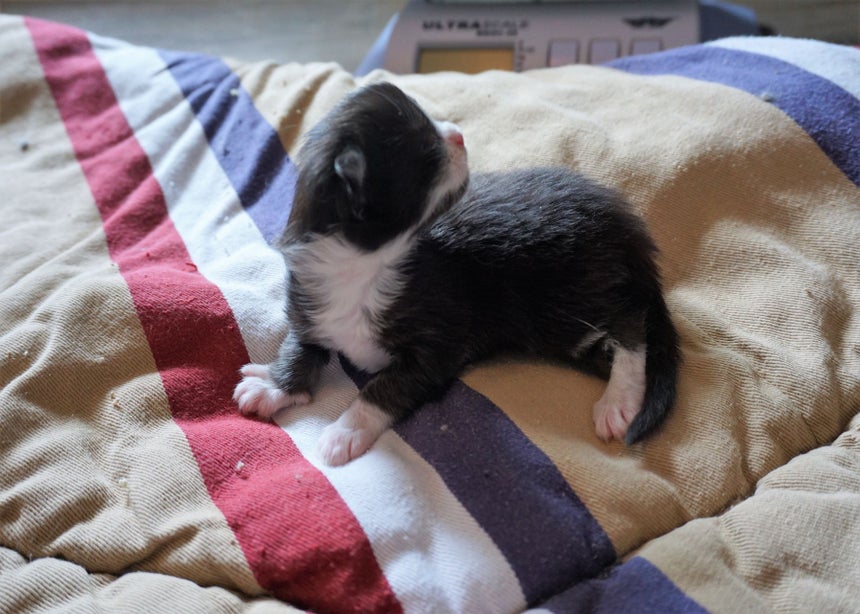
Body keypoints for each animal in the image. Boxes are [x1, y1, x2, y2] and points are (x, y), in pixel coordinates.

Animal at [233, 82, 680, 466]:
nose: (460, 135)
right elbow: (298, 350)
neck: (365, 267)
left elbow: (384, 387)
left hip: (571, 294)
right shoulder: (309, 308)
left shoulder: (438, 340)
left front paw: (346, 430)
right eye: (425, 147)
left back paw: (618, 400)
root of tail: (627, 226)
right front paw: (274, 386)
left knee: (632, 325)